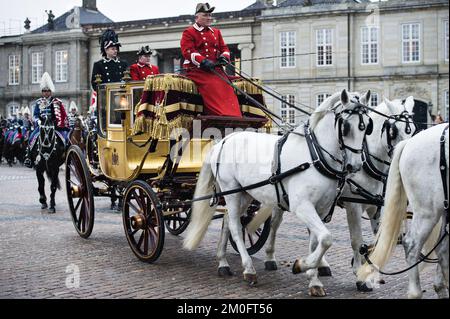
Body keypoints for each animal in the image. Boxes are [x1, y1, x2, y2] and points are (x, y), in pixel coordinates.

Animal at [184, 89, 372, 298]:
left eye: (367, 126)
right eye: (346, 127)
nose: (355, 166)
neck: (315, 157)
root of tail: (223, 141)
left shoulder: (320, 209)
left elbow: (317, 242)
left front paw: (313, 279)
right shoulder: (302, 207)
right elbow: (326, 238)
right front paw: (302, 265)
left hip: (245, 193)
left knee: (226, 221)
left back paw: (223, 262)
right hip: (231, 191)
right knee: (234, 226)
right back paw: (248, 269)